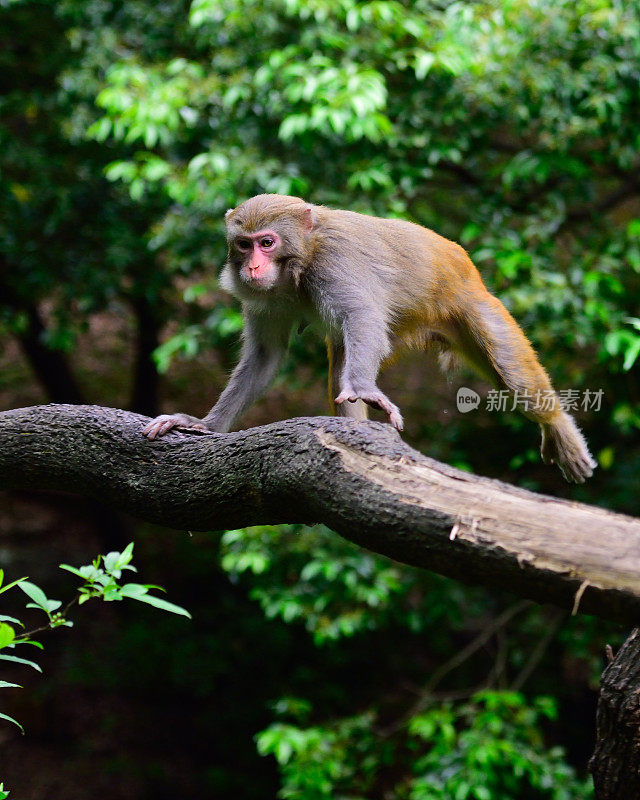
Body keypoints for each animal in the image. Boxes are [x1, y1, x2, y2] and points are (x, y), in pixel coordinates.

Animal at [142, 194, 596, 482]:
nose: (252, 267)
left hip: (475, 306)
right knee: (340, 362)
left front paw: (363, 388)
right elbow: (266, 355)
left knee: (511, 370)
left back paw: (557, 425)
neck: (302, 259)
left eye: (267, 243)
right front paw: (203, 424)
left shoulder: (335, 261)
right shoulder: (266, 297)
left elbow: (361, 316)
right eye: (243, 244)